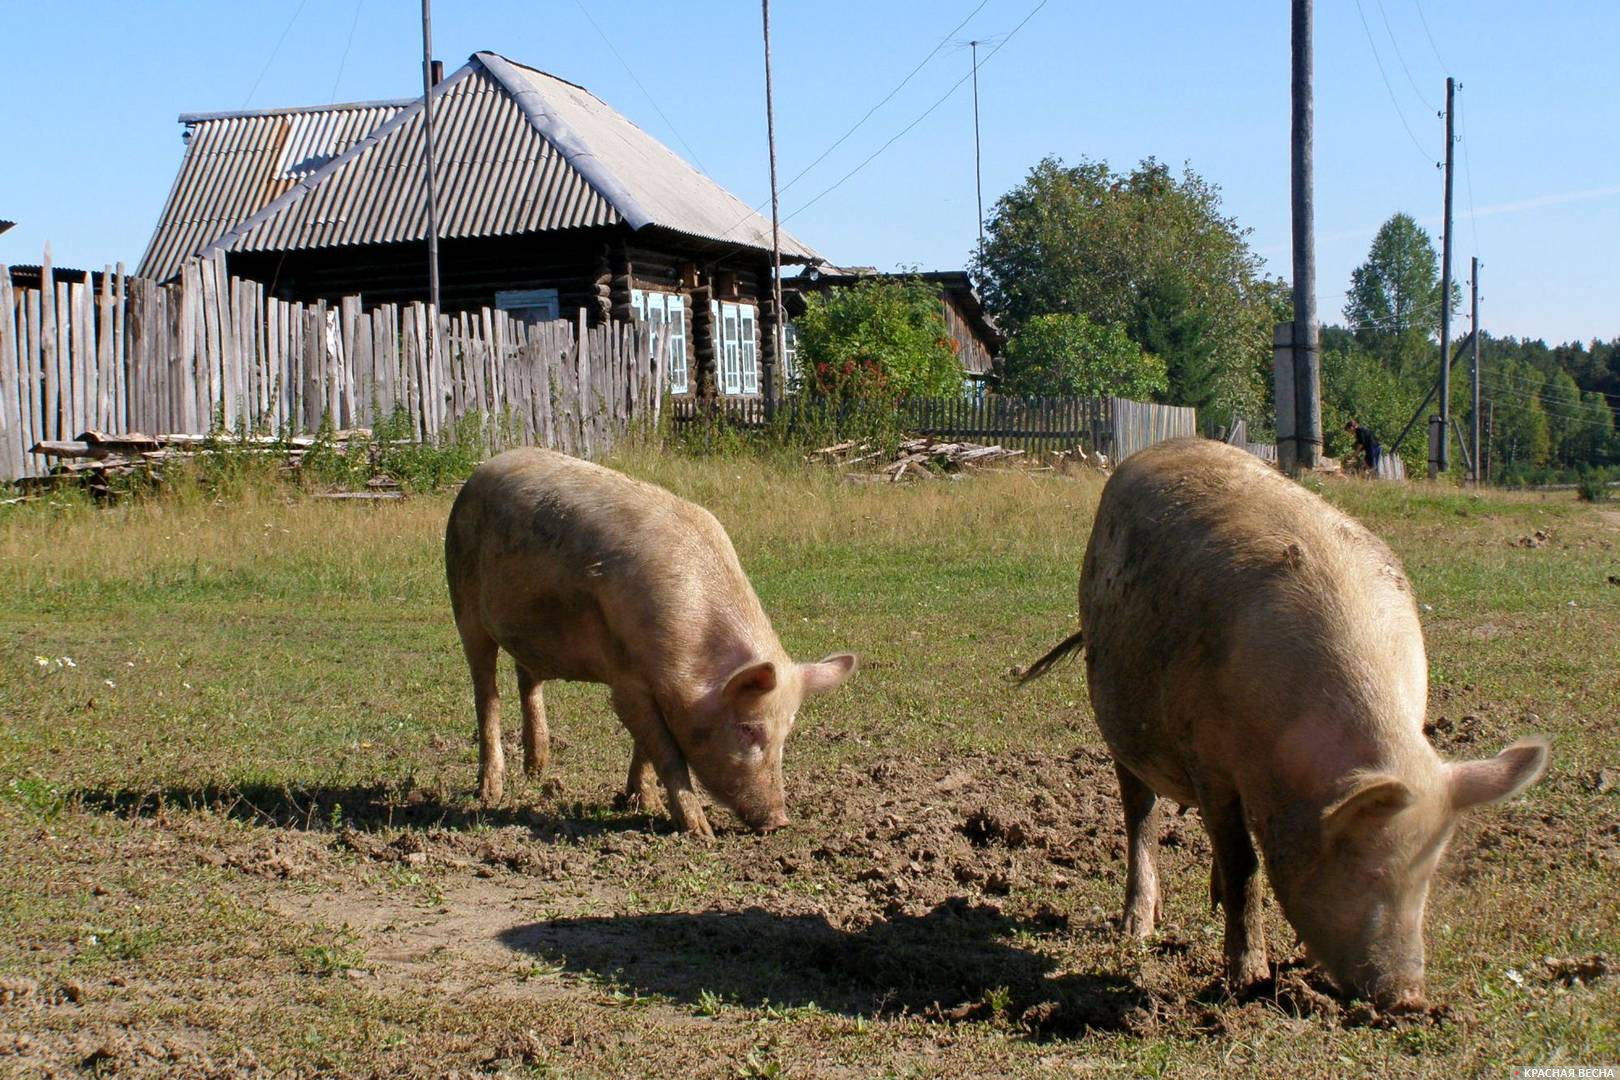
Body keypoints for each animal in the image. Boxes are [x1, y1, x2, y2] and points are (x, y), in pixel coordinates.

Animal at [437, 446, 855, 835]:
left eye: (787, 733)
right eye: (748, 728)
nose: (779, 821)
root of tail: (481, 470)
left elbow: (648, 749)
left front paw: (644, 803)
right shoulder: (626, 682)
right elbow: (666, 751)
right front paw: (700, 832)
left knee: (528, 678)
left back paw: (538, 771)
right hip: (463, 603)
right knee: (486, 693)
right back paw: (490, 793)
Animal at [1023, 440, 1542, 1016]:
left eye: (1427, 875)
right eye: (1367, 869)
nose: (1408, 999)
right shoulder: (1208, 759)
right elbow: (1244, 863)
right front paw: (1248, 980)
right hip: (1118, 716)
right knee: (1140, 812)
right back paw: (1137, 929)